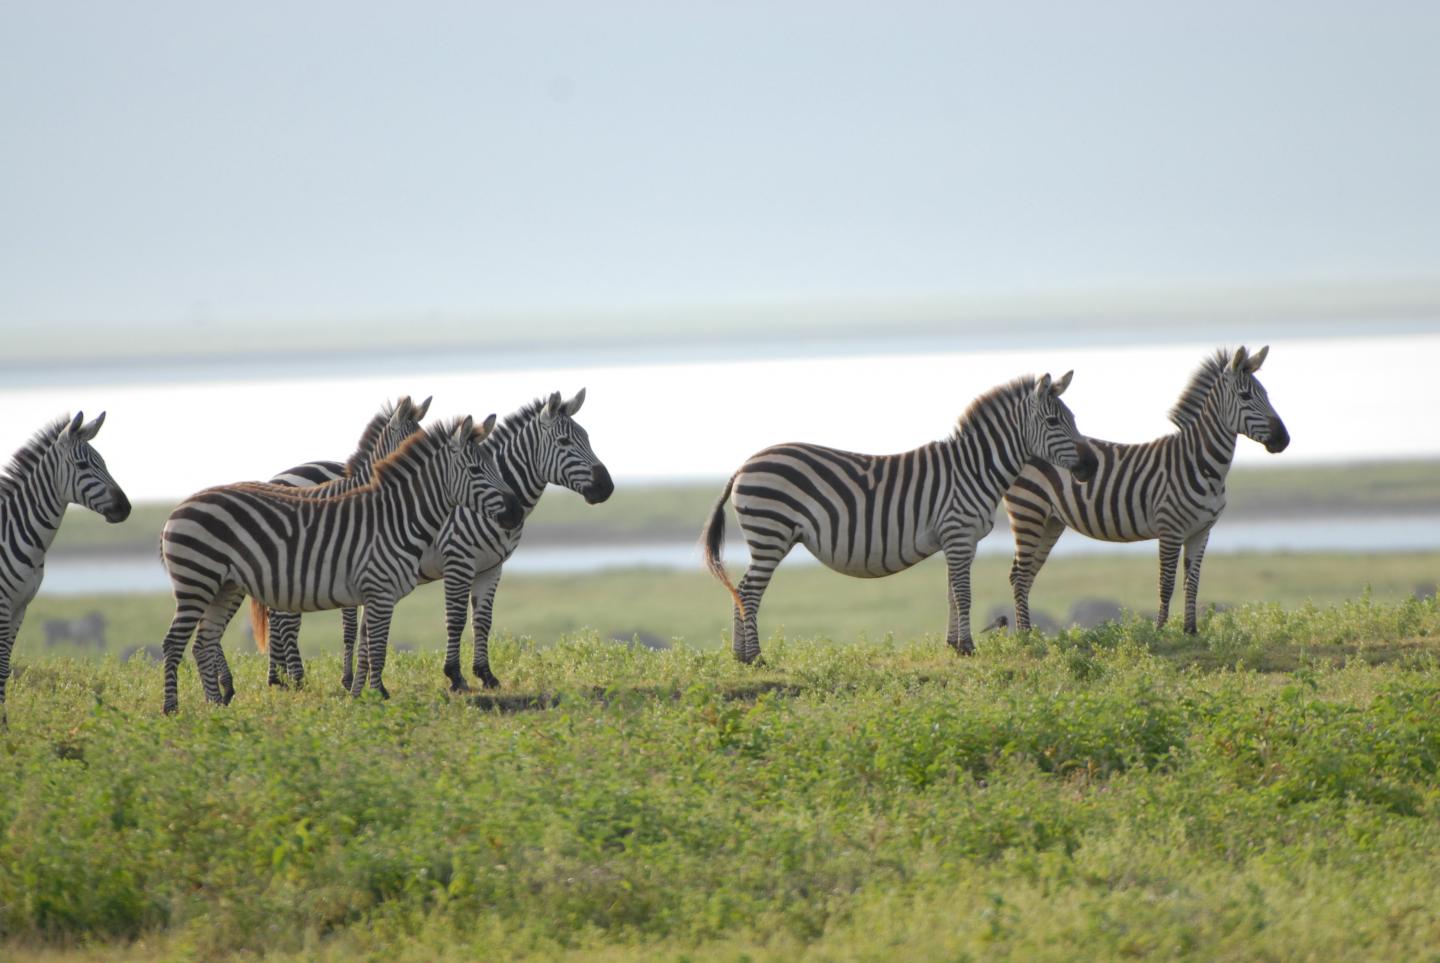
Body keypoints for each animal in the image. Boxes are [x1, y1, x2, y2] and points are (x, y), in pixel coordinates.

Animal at [0, 412, 131, 725]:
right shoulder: (2, 604)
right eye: (83, 466)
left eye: (104, 463)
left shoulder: (20, 607)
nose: (126, 508)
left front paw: (5, 726)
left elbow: (4, 668)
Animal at [702, 373, 1098, 663]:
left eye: (1074, 419)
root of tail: (744, 464)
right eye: (1053, 421)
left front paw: (953, 646)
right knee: (749, 591)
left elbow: (951, 594)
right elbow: (964, 594)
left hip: (767, 536)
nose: (1091, 465)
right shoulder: (958, 533)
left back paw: (739, 657)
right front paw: (968, 648)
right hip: (771, 533)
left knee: (740, 589)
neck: (974, 468)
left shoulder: (958, 540)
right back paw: (755, 658)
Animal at [1003, 345, 1289, 635]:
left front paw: (1191, 632)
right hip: (1028, 511)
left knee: (1025, 575)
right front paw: (1161, 631)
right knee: (1020, 575)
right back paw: (1025, 636)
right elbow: (1166, 583)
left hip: (1050, 521)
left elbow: (1192, 583)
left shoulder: (1201, 531)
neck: (1202, 464)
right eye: (1245, 396)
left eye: (1266, 394)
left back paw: (1029, 634)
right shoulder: (1170, 529)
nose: (1284, 440)